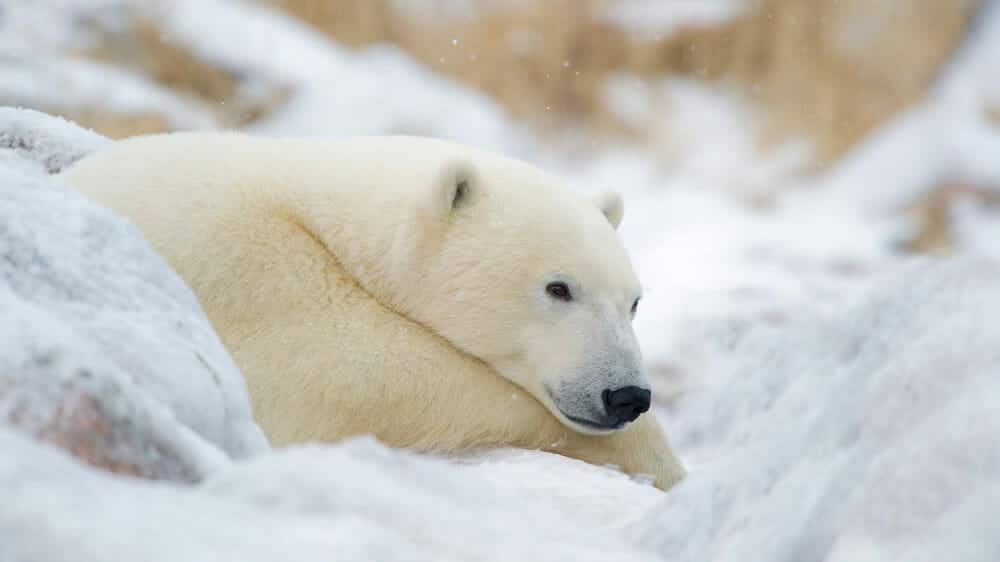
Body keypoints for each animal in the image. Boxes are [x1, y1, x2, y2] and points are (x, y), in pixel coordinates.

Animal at [60, 132, 686, 491]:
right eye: (559, 288)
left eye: (633, 301)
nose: (627, 395)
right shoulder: (247, 265)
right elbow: (351, 376)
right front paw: (658, 461)